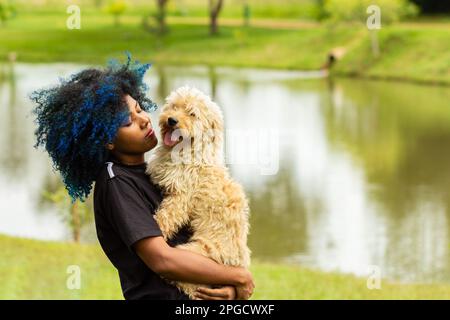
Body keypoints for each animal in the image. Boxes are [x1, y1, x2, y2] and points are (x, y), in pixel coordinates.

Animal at [147, 85, 250, 298]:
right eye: (174, 106)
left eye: (192, 114)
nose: (171, 120)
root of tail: (239, 261)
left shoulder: (181, 197)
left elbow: (166, 217)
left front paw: (157, 225)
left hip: (196, 254)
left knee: (189, 282)